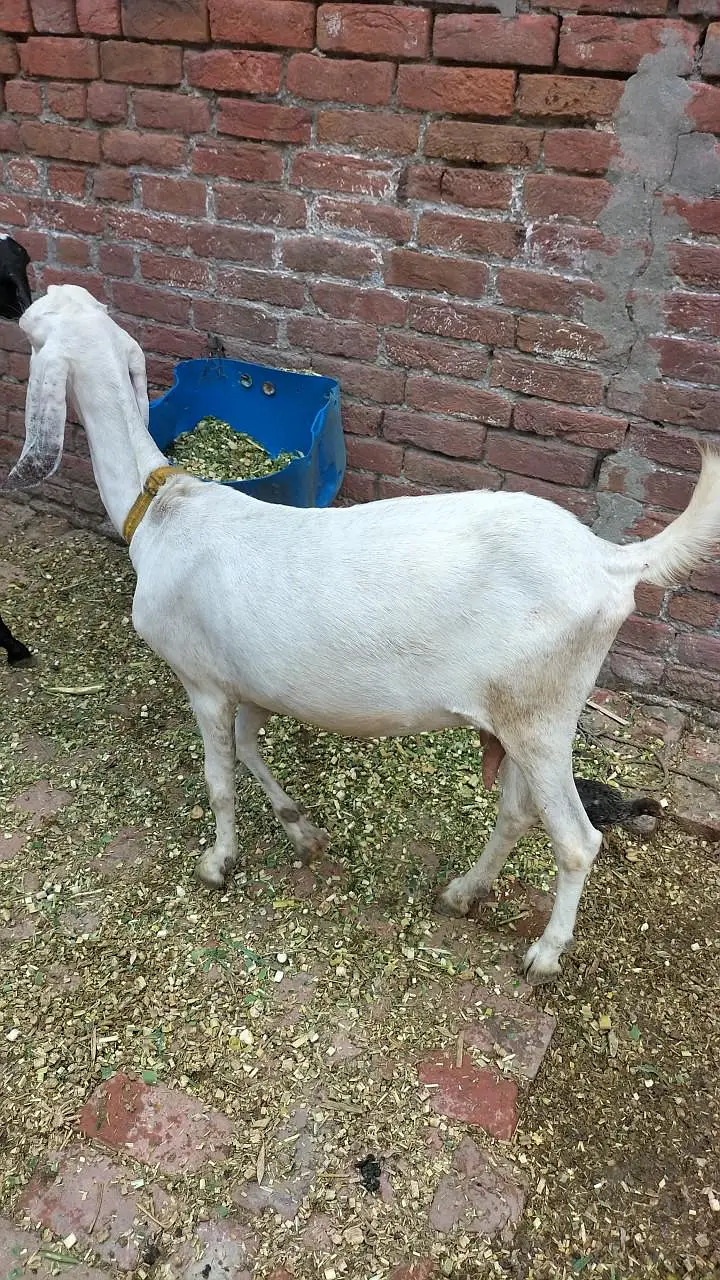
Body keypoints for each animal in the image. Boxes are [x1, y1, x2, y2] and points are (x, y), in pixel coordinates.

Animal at [6, 285, 720, 985]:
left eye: (31, 328)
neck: (161, 510)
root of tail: (609, 560)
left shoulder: (203, 679)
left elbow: (219, 777)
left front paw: (218, 863)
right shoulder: (253, 683)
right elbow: (249, 748)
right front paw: (302, 832)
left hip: (541, 713)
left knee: (576, 838)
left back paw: (544, 955)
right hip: (518, 714)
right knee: (518, 812)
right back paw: (462, 893)